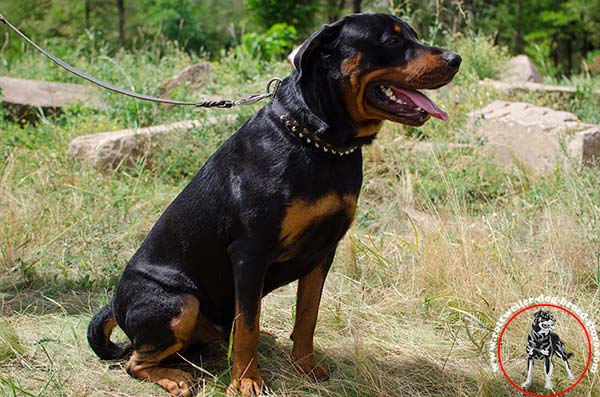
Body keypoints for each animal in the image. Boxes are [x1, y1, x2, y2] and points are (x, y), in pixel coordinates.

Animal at [86, 13, 462, 396]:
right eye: (392, 40)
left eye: (414, 34)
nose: (455, 59)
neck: (320, 142)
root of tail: (114, 303)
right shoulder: (250, 252)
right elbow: (248, 324)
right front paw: (247, 381)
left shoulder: (324, 250)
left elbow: (308, 315)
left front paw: (305, 366)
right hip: (180, 302)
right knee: (136, 359)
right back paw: (175, 377)